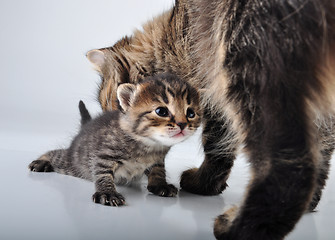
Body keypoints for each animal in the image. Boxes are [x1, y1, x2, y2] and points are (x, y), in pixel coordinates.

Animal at [28, 73, 201, 206]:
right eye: (161, 111)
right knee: (57, 154)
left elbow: (158, 170)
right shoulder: (103, 154)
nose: (182, 124)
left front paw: (160, 185)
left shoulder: (158, 159)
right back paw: (41, 161)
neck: (148, 145)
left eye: (191, 113)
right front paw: (107, 192)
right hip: (74, 162)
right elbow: (103, 173)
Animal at [84, 0, 335, 239]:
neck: (176, 40)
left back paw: (233, 228)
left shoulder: (214, 98)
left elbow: (216, 150)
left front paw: (203, 185)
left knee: (289, 169)